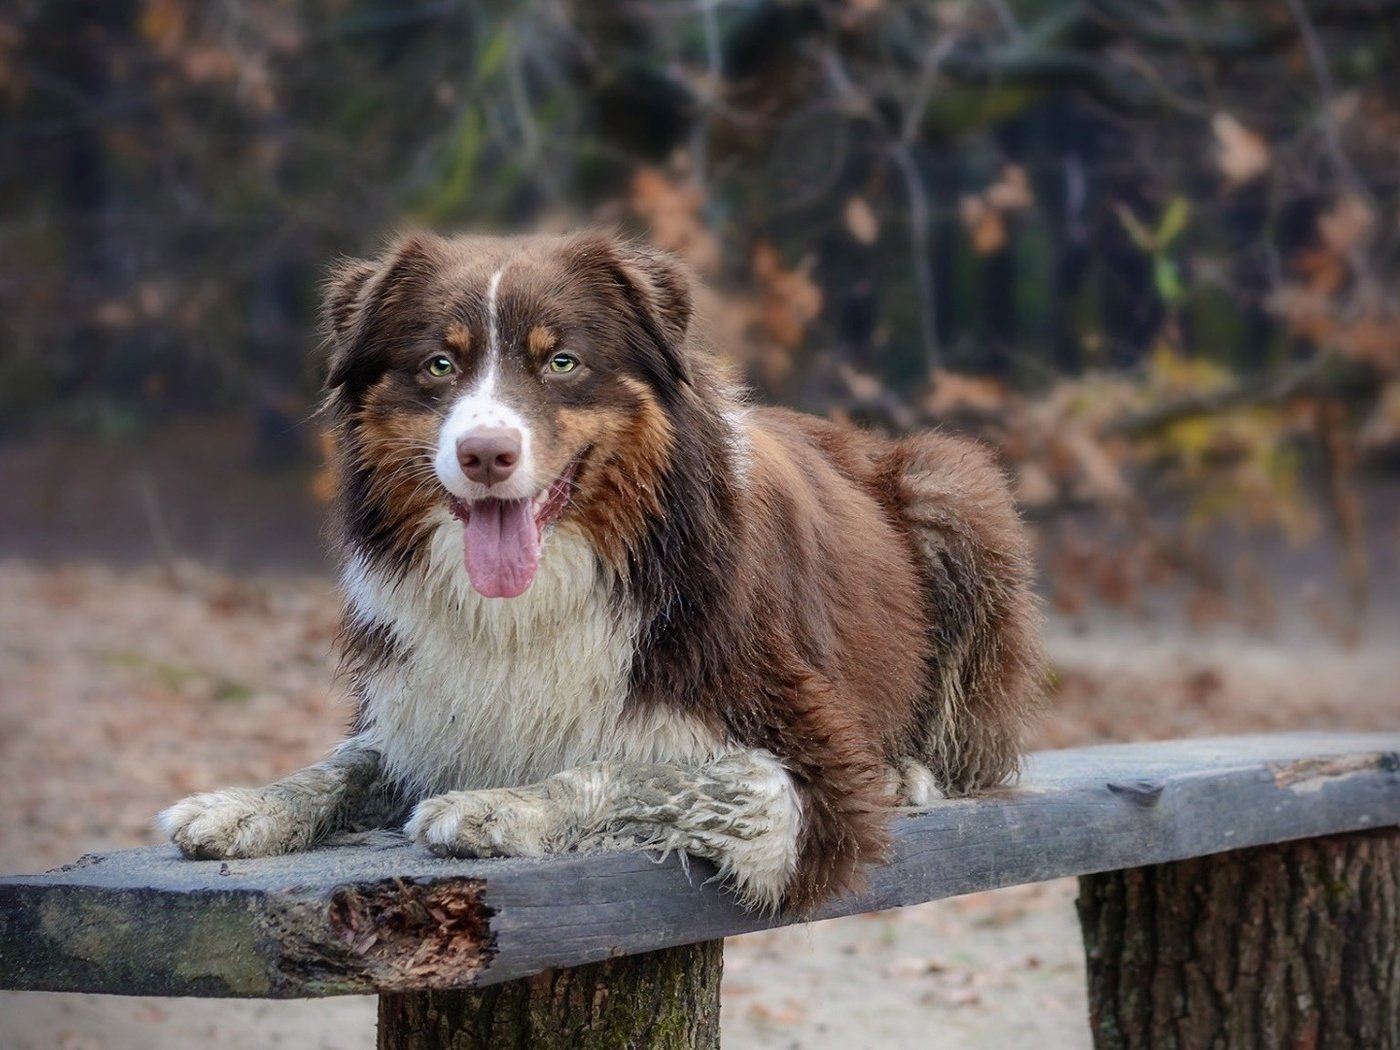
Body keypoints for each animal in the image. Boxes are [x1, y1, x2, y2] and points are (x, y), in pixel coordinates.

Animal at [158, 232, 1047, 912]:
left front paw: (497, 805)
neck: (540, 599)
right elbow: (341, 764)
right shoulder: (425, 712)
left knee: (970, 756)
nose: (485, 454)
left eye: (562, 362)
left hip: (953, 488)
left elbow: (649, 771)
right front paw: (240, 804)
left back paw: (909, 772)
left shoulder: (812, 784)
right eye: (440, 365)